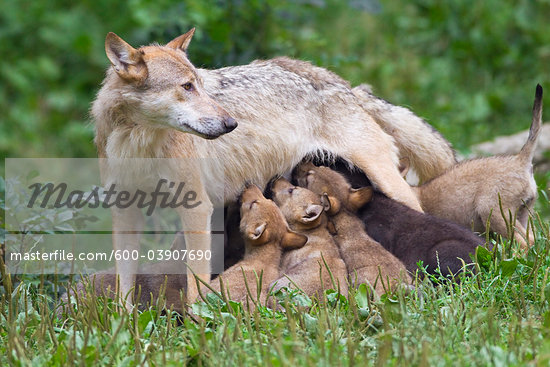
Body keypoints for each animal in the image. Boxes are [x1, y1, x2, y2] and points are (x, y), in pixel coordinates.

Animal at [92, 28, 458, 310]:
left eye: (199, 85)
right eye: (186, 87)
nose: (231, 124)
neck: (137, 145)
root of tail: (344, 85)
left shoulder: (196, 209)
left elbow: (196, 280)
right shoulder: (125, 213)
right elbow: (125, 282)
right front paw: (125, 324)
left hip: (387, 181)